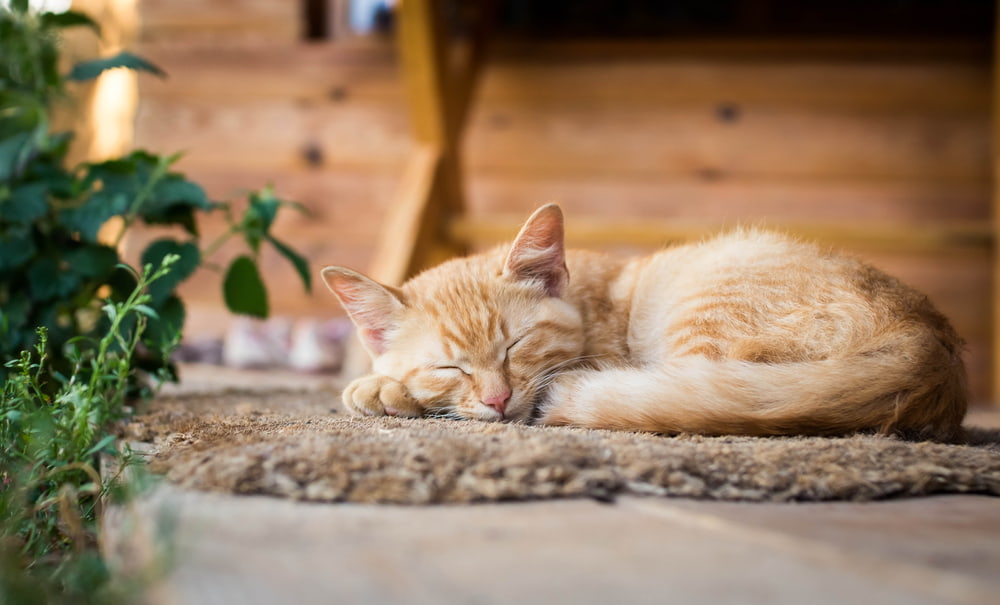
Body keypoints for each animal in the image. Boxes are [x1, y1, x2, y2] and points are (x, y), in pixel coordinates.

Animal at [324, 205, 964, 442]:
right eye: (449, 366)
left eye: (516, 345)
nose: (498, 399)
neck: (587, 298)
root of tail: (928, 340)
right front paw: (383, 387)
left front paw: (384, 389)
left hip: (704, 318)